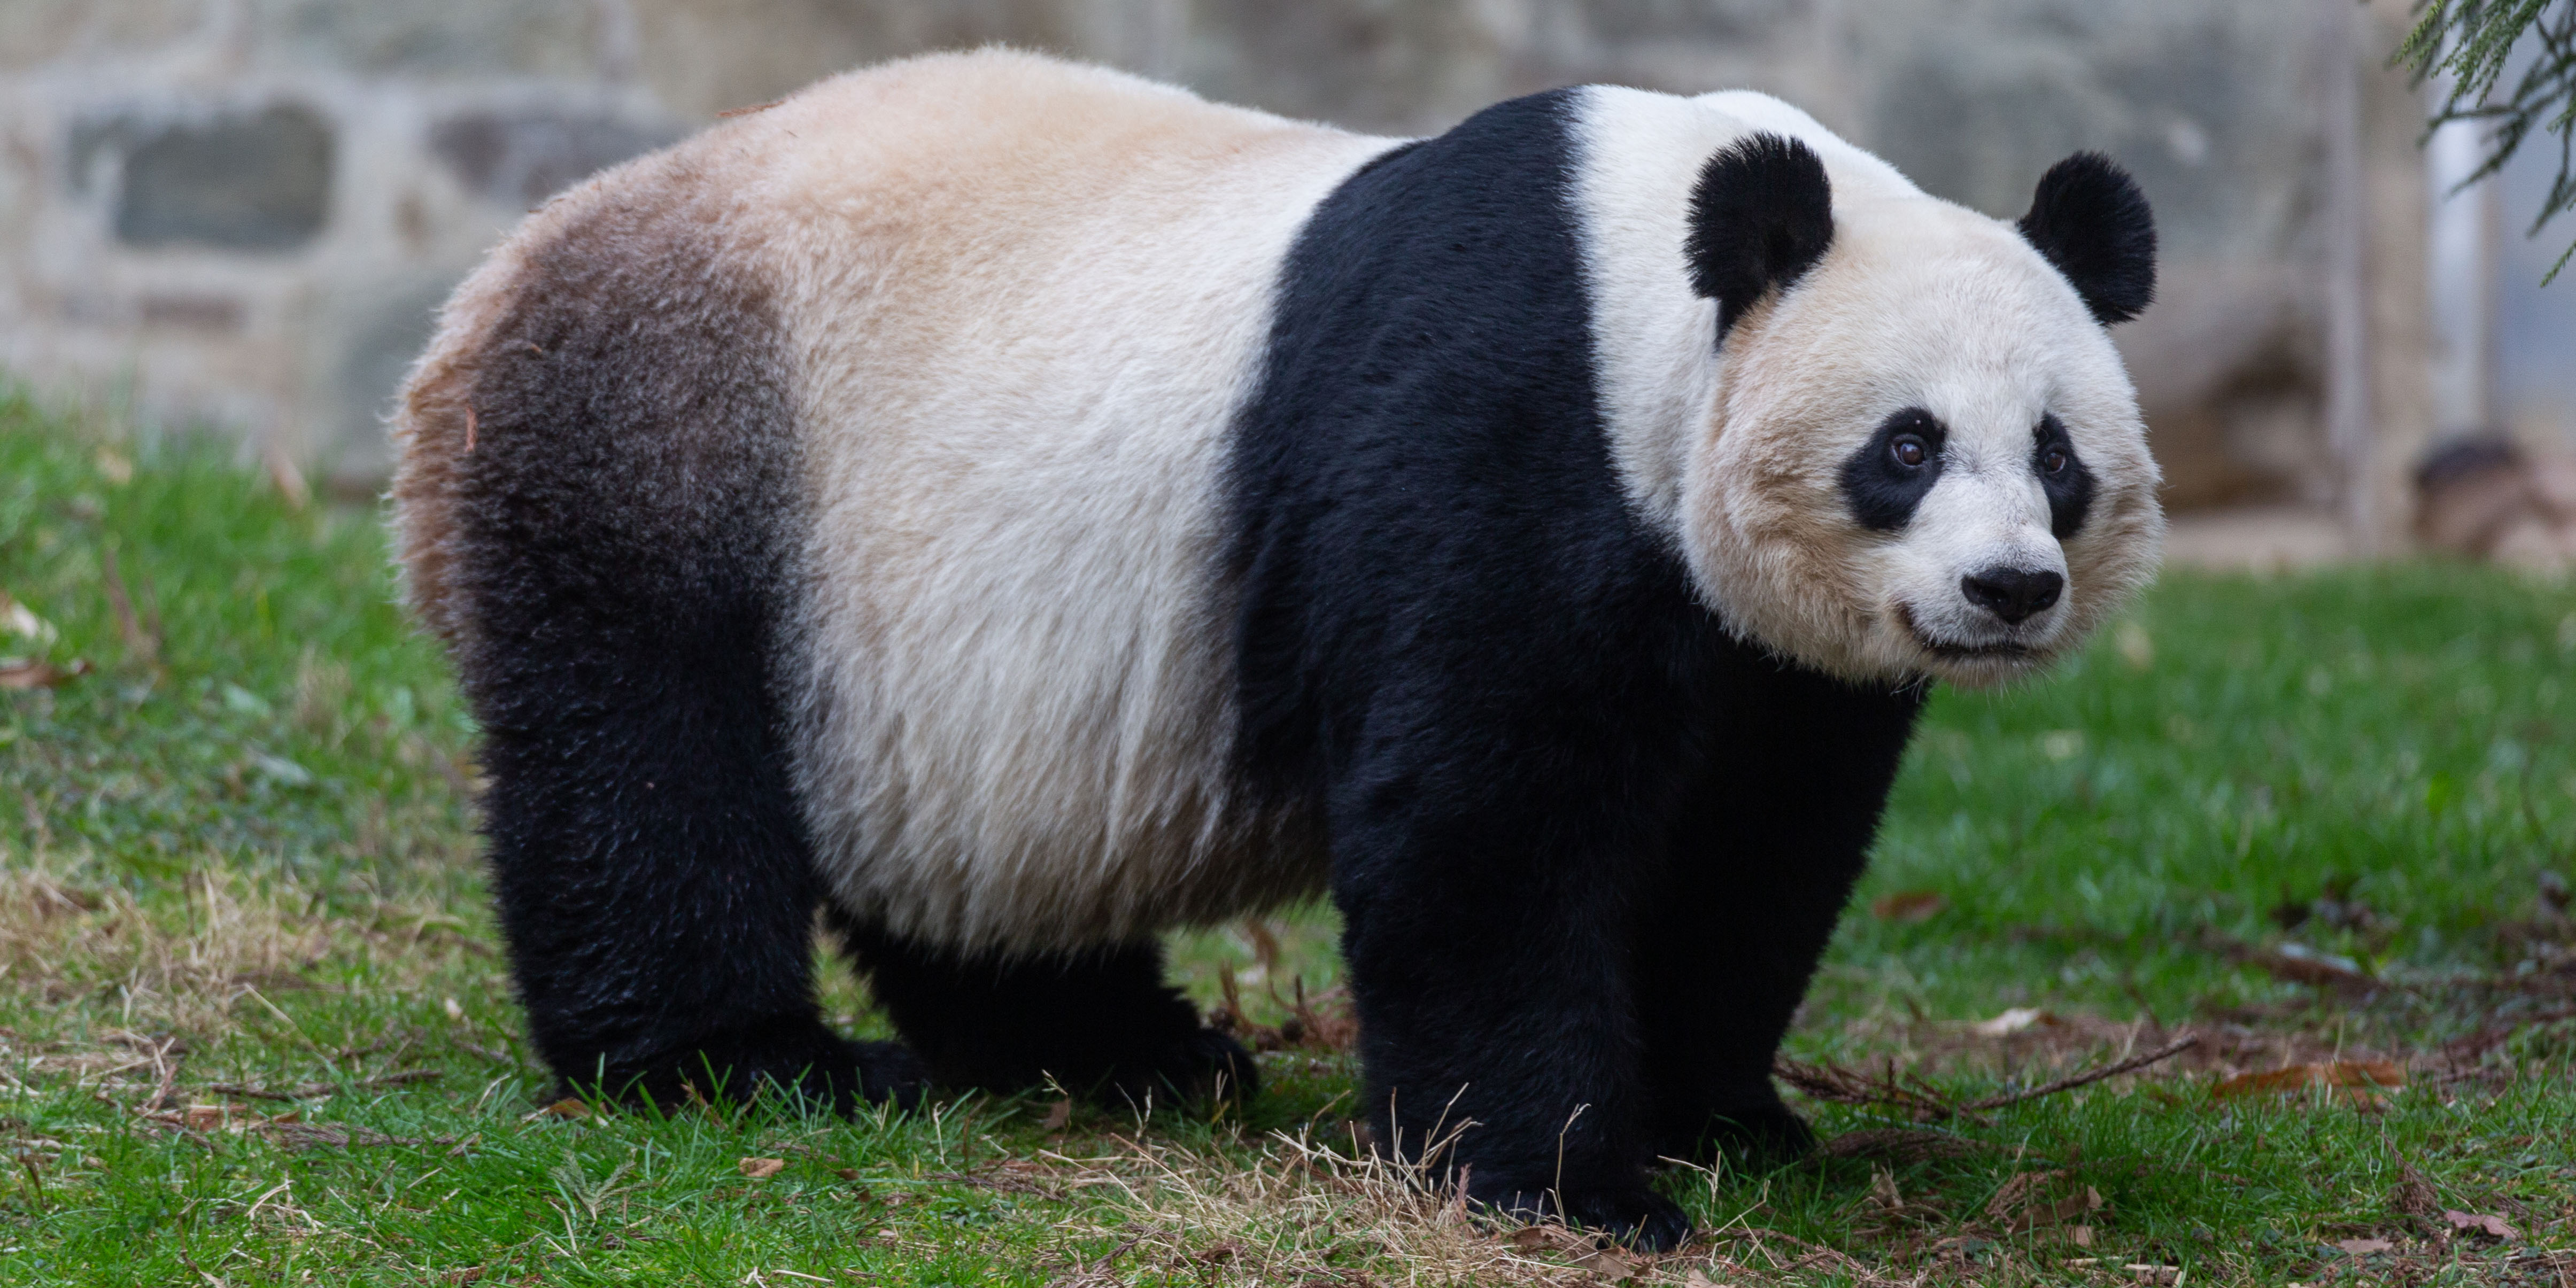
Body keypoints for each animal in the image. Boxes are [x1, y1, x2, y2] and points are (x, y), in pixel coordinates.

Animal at [386, 48, 2153, 1246]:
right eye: (1904, 447)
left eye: (2056, 454)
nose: (2007, 589)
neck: (1648, 290)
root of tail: (479, 304)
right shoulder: (1500, 436)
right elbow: (1481, 823)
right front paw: (1567, 1183)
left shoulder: (1765, 660)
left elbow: (1755, 844)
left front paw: (1723, 1114)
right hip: (668, 450)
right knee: (643, 766)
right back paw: (752, 1063)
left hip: (898, 637)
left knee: (950, 856)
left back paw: (1121, 1052)